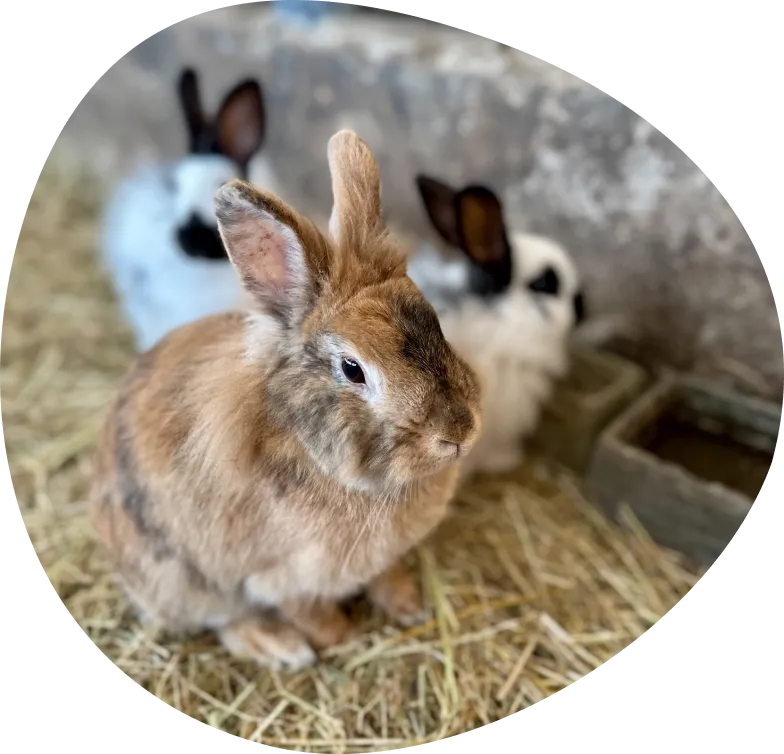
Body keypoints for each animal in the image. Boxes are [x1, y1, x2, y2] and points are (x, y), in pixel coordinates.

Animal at [89, 130, 483, 672]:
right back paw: (280, 647)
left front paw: (407, 606)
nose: (459, 432)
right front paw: (341, 639)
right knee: (224, 621)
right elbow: (311, 614)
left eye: (437, 323)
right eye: (352, 369)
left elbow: (385, 577)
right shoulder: (279, 575)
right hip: (187, 584)